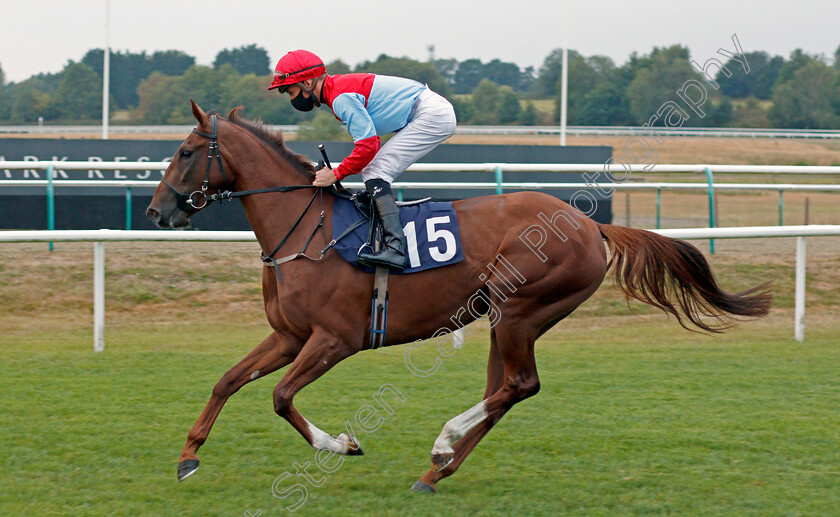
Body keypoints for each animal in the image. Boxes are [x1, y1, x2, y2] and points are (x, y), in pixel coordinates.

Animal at [146, 101, 768, 492]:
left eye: (184, 151)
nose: (156, 211)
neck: (307, 229)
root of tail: (592, 226)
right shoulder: (289, 335)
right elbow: (228, 380)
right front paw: (188, 457)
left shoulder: (335, 339)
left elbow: (279, 397)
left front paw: (342, 444)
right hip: (505, 317)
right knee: (505, 392)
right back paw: (436, 471)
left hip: (521, 308)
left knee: (518, 385)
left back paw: (444, 442)